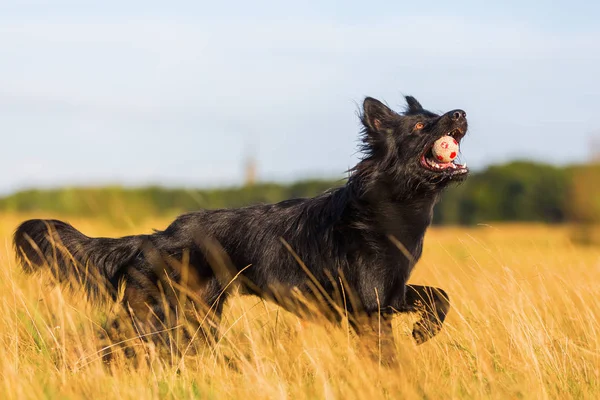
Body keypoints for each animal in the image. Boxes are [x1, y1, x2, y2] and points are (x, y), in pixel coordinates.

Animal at [11, 96, 466, 360]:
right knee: (115, 341)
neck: (390, 206)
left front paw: (424, 332)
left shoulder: (389, 295)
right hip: (171, 314)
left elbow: (439, 296)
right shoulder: (369, 305)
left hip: (191, 318)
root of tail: (153, 239)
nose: (461, 113)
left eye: (435, 115)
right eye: (421, 127)